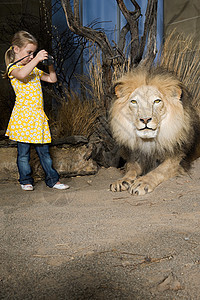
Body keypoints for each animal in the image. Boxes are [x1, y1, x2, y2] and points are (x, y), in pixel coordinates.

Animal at [109, 67, 200, 196]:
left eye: (157, 101)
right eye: (134, 102)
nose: (145, 119)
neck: (149, 142)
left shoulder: (177, 159)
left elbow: (159, 170)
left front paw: (142, 182)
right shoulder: (137, 156)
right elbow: (131, 168)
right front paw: (122, 181)